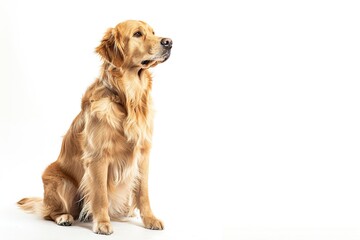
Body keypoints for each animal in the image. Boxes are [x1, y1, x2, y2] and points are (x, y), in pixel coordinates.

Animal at [17, 20, 172, 234]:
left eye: (153, 32)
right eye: (137, 34)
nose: (169, 42)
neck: (126, 98)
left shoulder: (143, 153)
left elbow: (143, 192)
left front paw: (150, 219)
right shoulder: (98, 156)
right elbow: (100, 195)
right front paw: (103, 223)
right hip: (59, 181)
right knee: (50, 212)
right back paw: (64, 217)